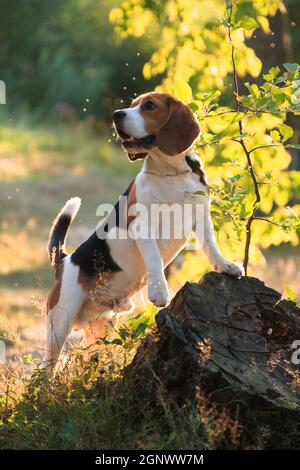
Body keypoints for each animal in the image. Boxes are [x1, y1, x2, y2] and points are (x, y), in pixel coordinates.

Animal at [46, 91, 244, 364]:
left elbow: (211, 247)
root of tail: (64, 260)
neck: (171, 172)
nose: (117, 115)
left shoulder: (201, 216)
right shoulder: (142, 225)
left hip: (99, 329)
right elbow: (154, 257)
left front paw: (226, 266)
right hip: (61, 320)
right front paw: (159, 290)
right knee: (48, 365)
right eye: (131, 106)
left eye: (149, 106)